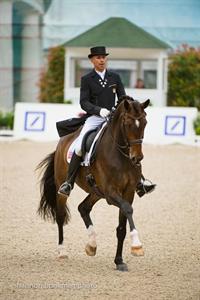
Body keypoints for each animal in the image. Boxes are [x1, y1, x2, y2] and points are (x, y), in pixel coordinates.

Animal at [37, 96, 150, 272]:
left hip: (96, 191)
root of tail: (64, 139)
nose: (137, 158)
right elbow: (127, 209)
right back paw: (62, 251)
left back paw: (92, 245)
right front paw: (137, 246)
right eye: (127, 123)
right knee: (61, 215)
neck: (121, 155)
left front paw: (119, 261)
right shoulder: (111, 193)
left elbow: (121, 227)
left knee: (83, 208)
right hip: (63, 187)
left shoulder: (128, 192)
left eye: (144, 122)